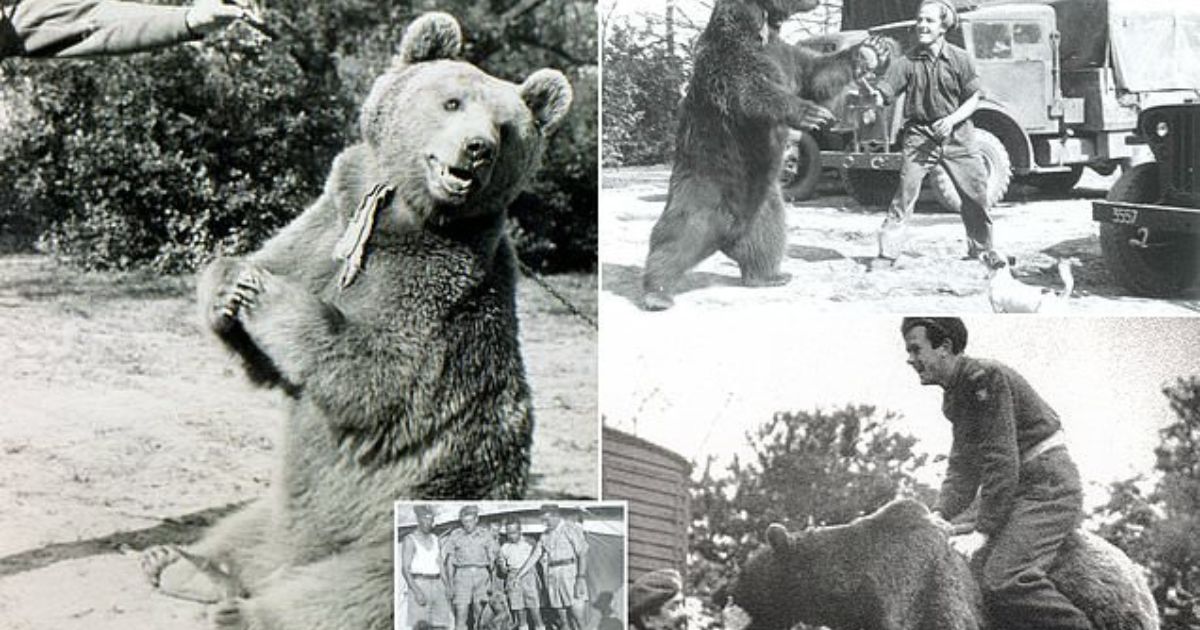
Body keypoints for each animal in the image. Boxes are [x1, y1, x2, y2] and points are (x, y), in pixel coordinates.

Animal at [138, 12, 572, 630]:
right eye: (453, 101)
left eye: (507, 128)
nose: (478, 148)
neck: (398, 215)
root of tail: (298, 555)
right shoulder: (330, 222)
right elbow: (271, 326)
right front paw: (231, 283)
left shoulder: (438, 289)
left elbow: (376, 372)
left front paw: (265, 293)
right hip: (284, 507)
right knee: (247, 528)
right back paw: (181, 564)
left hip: (413, 505)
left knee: (356, 593)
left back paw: (243, 610)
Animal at [639, 0, 891, 310]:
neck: (762, 25)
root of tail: (726, 232)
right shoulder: (729, 56)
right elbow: (752, 88)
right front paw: (812, 113)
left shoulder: (785, 55)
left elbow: (816, 73)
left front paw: (872, 48)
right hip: (703, 190)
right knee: (676, 235)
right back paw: (657, 294)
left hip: (762, 202)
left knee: (767, 236)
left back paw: (770, 275)